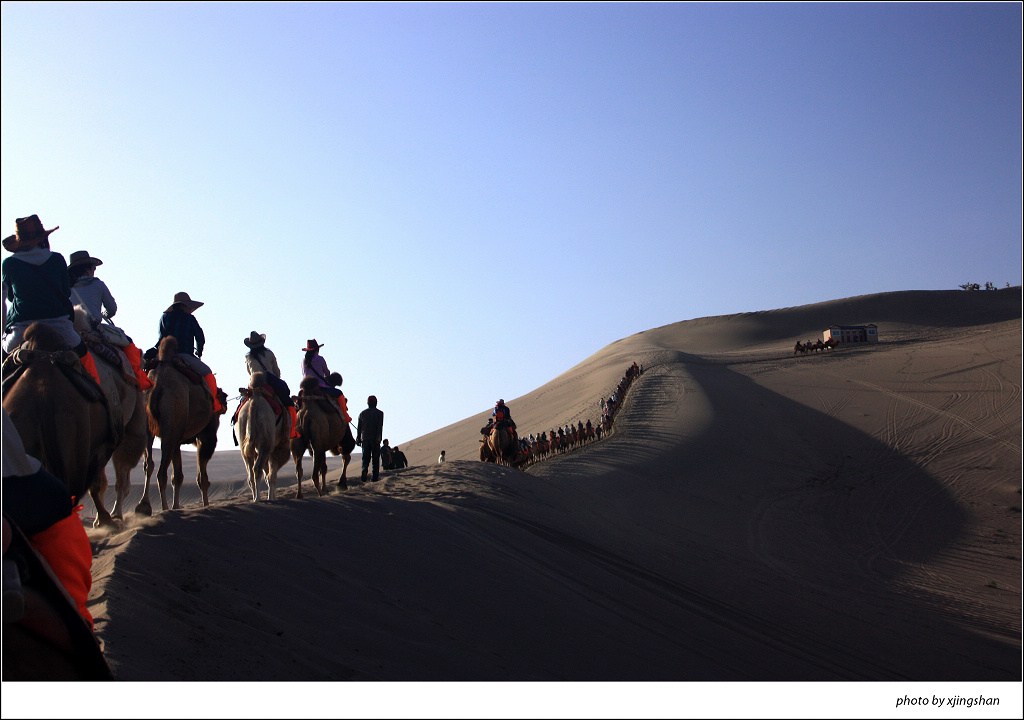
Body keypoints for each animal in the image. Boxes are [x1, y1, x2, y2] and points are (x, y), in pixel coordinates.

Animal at [138, 335, 224, 512]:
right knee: (161, 472)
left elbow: (177, 476)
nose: (223, 406)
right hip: (172, 422)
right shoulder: (206, 436)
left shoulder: (177, 439)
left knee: (149, 464)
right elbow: (202, 476)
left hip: (153, 427)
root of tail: (158, 384)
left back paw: (145, 505)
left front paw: (176, 505)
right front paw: (205, 504)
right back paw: (163, 508)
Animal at [236, 372, 292, 501]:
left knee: (251, 473)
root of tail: (254, 404)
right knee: (258, 469)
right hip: (266, 443)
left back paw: (255, 498)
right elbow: (272, 475)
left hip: (244, 441)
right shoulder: (277, 448)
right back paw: (258, 498)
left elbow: (268, 474)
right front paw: (271, 497)